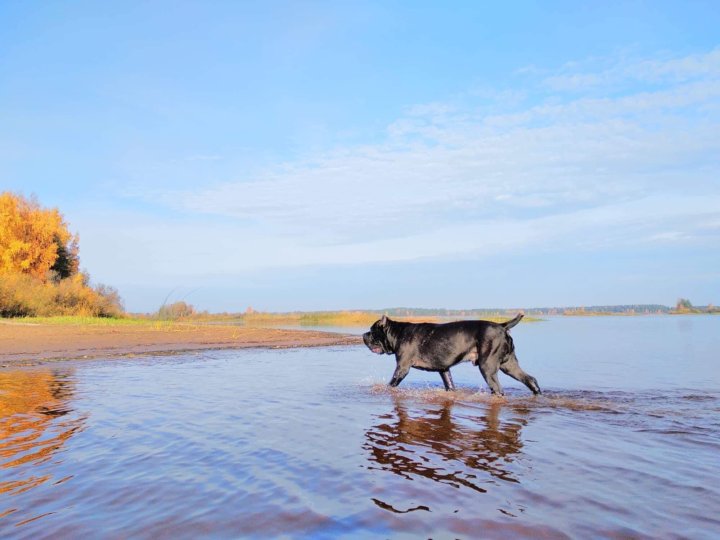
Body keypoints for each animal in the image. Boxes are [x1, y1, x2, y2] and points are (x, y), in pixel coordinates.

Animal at [362, 312, 544, 396]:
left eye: (372, 331)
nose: (364, 335)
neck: (397, 333)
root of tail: (502, 326)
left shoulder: (402, 367)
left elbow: (392, 383)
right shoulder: (444, 369)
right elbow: (449, 384)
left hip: (488, 366)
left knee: (498, 389)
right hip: (509, 364)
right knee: (530, 379)